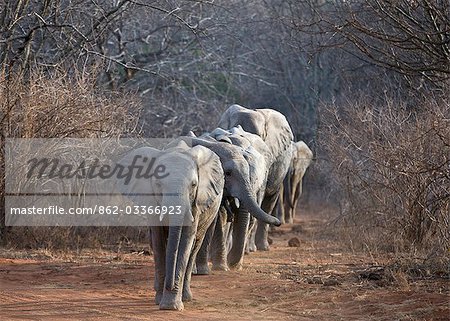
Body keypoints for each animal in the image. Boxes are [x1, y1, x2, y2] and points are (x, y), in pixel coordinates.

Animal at [117, 141, 224, 310]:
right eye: (158, 184)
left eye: (194, 185)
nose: (170, 284)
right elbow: (159, 242)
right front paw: (160, 301)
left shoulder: (196, 202)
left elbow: (186, 241)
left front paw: (171, 306)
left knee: (194, 247)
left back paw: (186, 297)